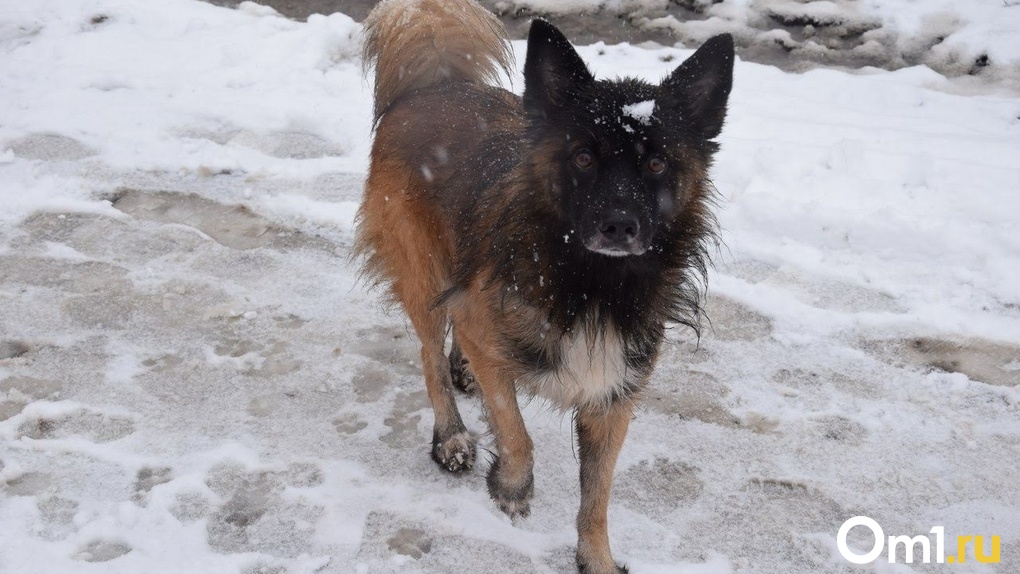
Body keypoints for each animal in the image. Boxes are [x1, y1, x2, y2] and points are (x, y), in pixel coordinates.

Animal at [359, 1, 734, 570]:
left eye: (655, 162)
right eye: (582, 157)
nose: (619, 226)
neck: (588, 281)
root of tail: (435, 89)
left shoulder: (614, 394)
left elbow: (597, 496)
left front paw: (596, 558)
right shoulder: (484, 326)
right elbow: (516, 432)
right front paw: (511, 486)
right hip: (423, 274)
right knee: (428, 352)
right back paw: (451, 437)